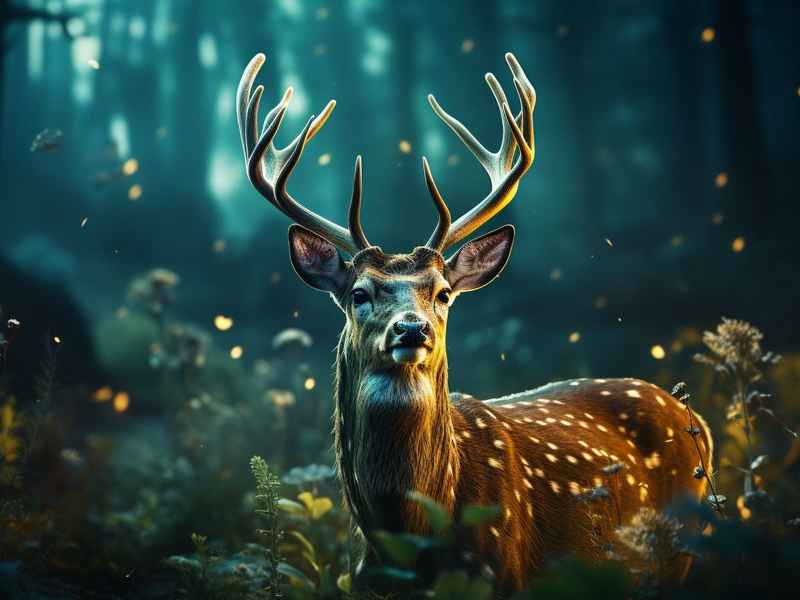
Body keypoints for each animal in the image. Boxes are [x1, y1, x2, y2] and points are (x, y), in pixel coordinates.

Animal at [236, 51, 714, 593]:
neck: (408, 537)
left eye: (443, 294)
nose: (411, 329)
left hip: (681, 555)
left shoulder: (502, 575)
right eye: (359, 293)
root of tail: (697, 420)